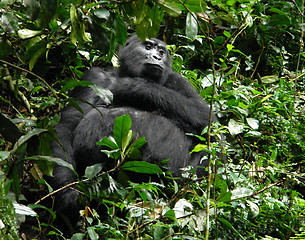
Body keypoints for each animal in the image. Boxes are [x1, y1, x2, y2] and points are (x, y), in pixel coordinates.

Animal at [47, 35, 221, 229]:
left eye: (162, 52)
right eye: (148, 46)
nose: (157, 57)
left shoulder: (178, 79)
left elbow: (209, 124)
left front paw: (136, 87)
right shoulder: (93, 76)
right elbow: (69, 124)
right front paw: (67, 194)